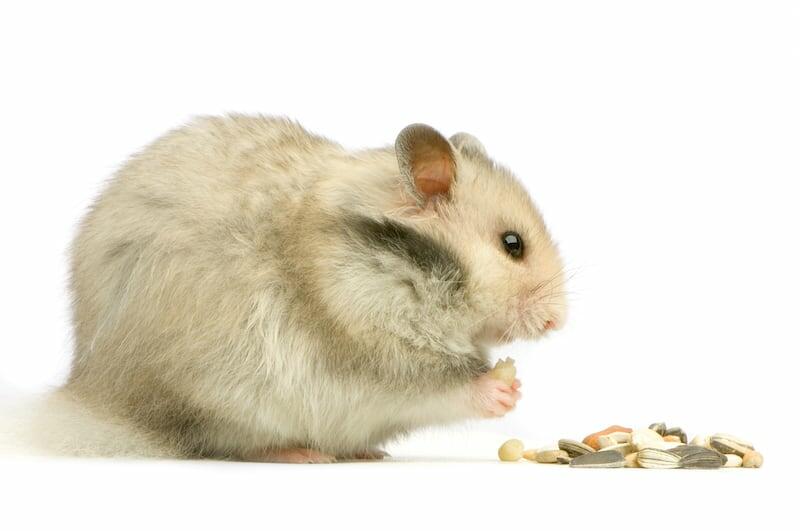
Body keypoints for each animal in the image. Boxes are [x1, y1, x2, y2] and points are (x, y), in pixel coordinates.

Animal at [61, 115, 567, 462]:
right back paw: (303, 455)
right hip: (217, 398)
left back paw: (366, 454)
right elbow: (438, 386)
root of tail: (88, 392)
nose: (557, 323)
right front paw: (504, 390)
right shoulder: (374, 351)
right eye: (512, 244)